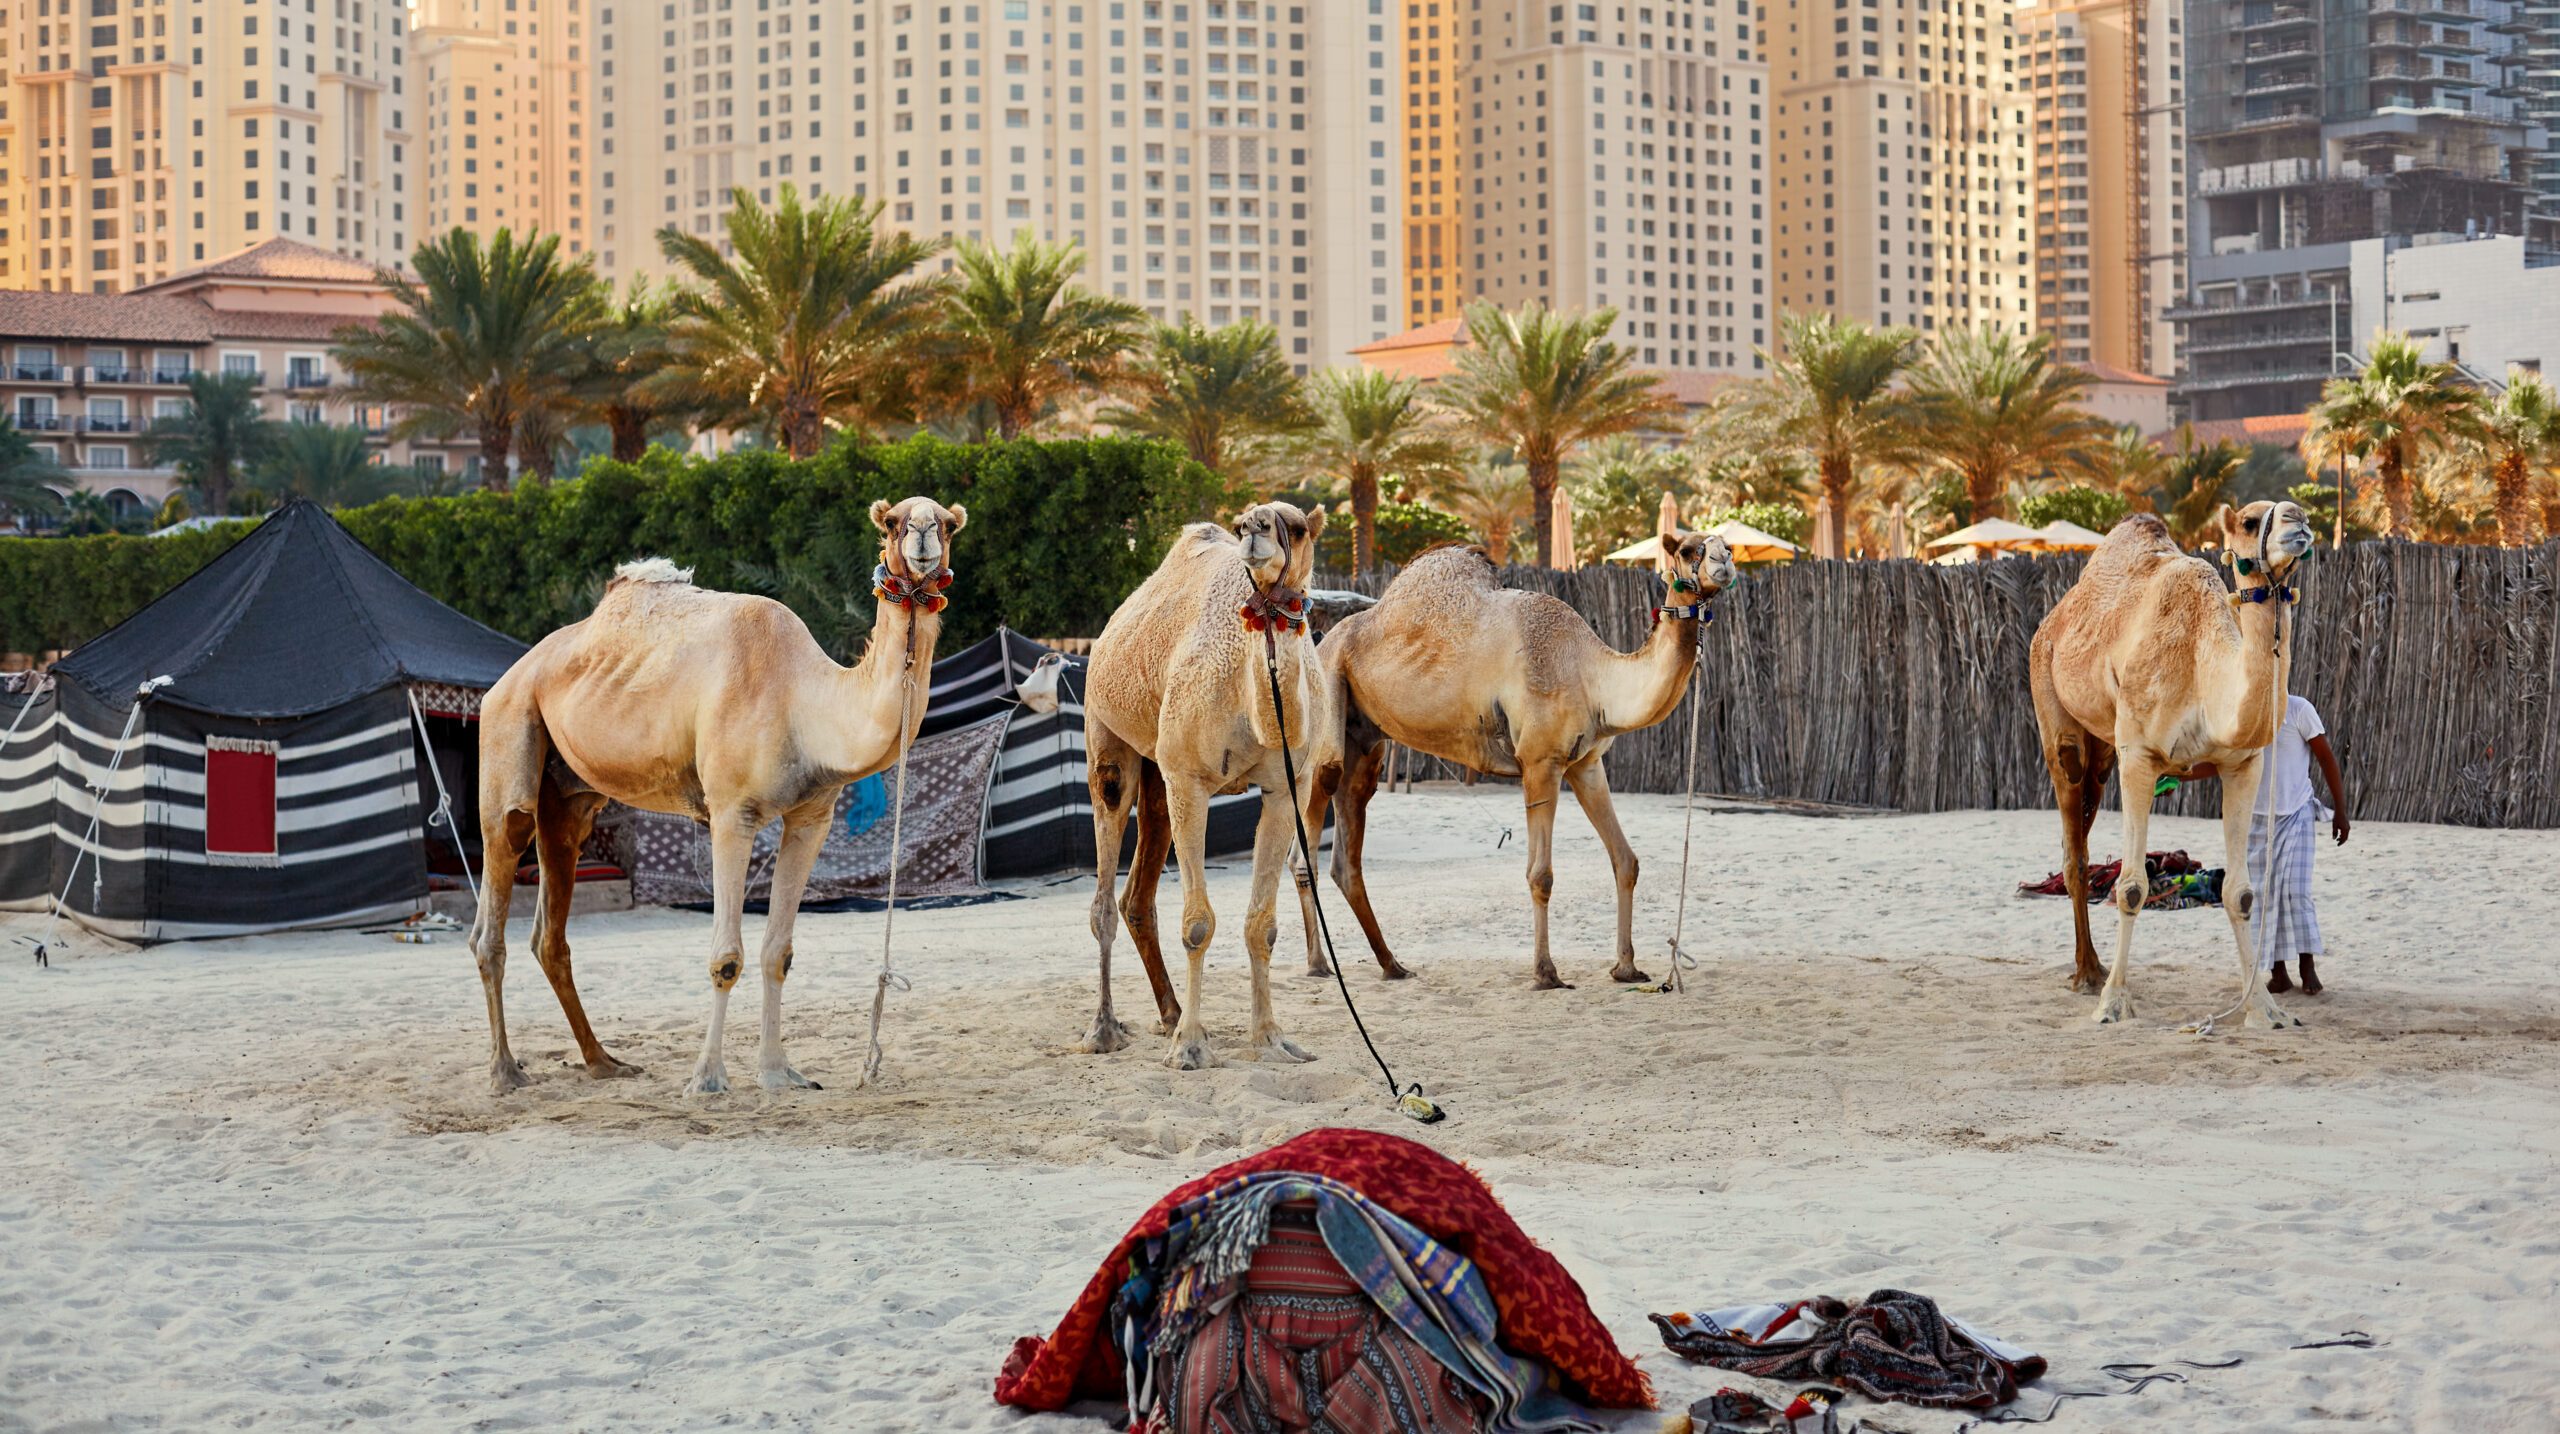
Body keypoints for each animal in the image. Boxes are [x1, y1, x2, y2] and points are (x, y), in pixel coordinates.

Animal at [468, 496, 966, 1096]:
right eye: (892, 523)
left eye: (949, 524)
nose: (922, 534)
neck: (805, 701)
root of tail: (506, 679)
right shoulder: (732, 812)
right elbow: (726, 957)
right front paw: (707, 1078)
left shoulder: (812, 817)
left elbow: (779, 952)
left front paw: (779, 1073)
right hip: (509, 730)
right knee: (494, 906)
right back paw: (503, 1072)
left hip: (568, 797)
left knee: (551, 930)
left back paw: (604, 1061)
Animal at [1080, 500, 1333, 1069]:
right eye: (1241, 525)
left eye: (1297, 528)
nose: (1257, 527)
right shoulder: (1190, 781)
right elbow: (1197, 924)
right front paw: (1191, 1047)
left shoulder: (1288, 788)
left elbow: (1263, 924)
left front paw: (1272, 1038)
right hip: (1108, 740)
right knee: (1104, 897)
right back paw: (1105, 1029)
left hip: (1157, 774)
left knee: (1137, 897)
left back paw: (1170, 1013)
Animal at [1301, 495, 1737, 988]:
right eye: (1687, 549)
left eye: (1728, 545)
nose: (1724, 563)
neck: (1592, 673)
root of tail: (1323, 641)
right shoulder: (1539, 762)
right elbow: (1540, 874)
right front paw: (1546, 973)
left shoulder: (1586, 764)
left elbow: (1626, 860)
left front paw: (1626, 967)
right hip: (1327, 706)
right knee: (1309, 840)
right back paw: (1318, 963)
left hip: (1366, 741)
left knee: (1347, 853)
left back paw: (1392, 964)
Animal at [2028, 500, 2313, 1029]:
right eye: (2249, 521)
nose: (2298, 518)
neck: (2203, 669)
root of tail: (2054, 621)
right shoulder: (2139, 757)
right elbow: (2131, 887)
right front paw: (2113, 1004)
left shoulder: (2244, 764)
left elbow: (2241, 894)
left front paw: (2264, 1009)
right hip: (2054, 710)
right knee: (2075, 852)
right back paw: (2088, 975)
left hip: (2104, 754)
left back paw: (2093, 967)